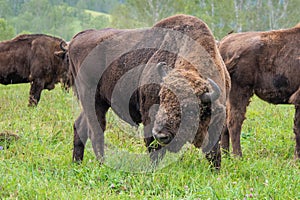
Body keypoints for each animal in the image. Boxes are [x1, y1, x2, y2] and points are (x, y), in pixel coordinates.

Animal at [69, 14, 230, 170]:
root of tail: (78, 38)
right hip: (91, 98)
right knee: (96, 132)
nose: (161, 134)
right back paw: (102, 164)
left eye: (190, 109)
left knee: (80, 126)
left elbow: (214, 152)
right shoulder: (149, 116)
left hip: (98, 102)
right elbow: (154, 149)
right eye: (161, 98)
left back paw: (77, 163)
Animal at [218, 23, 300, 159]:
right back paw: (238, 156)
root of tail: (222, 44)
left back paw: (226, 155)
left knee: (225, 122)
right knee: (234, 121)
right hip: (241, 90)